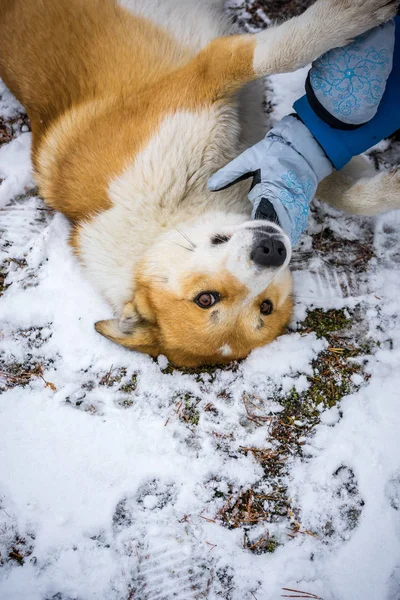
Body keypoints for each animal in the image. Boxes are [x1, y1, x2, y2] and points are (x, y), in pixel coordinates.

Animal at [1, 0, 398, 368]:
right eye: (207, 300)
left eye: (264, 307)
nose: (271, 251)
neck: (167, 215)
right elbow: (318, 157)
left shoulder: (206, 83)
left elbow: (276, 55)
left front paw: (348, 15)